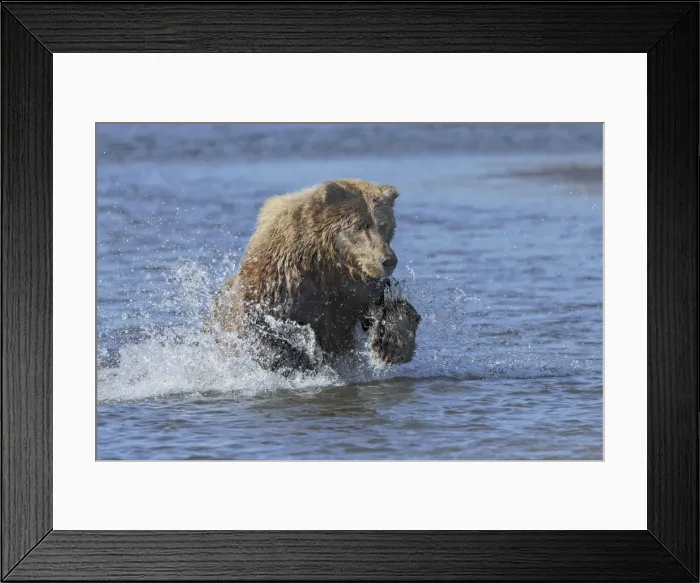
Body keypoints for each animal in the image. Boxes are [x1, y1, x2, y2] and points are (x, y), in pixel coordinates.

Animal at [202, 178, 421, 374]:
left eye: (383, 225)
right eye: (360, 225)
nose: (387, 260)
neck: (326, 263)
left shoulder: (355, 291)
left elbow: (389, 308)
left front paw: (390, 347)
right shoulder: (280, 283)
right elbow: (263, 327)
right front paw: (298, 360)